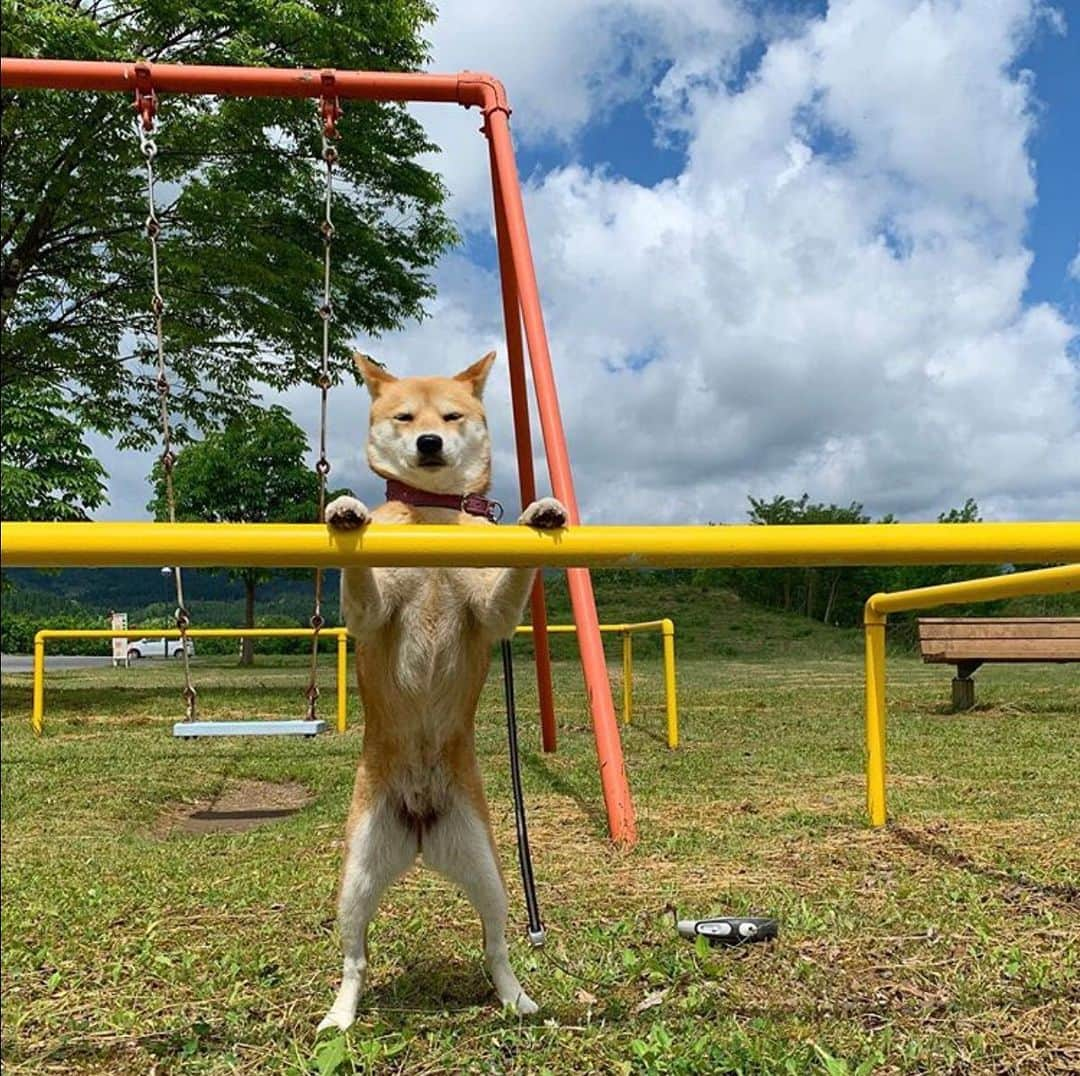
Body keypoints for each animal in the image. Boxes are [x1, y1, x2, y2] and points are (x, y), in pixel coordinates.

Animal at [315, 354, 565, 1032]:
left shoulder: (492, 610)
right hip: (355, 878)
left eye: (452, 416)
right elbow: (361, 580)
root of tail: (423, 822)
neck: (431, 517)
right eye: (405, 417)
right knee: (355, 960)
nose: (430, 442)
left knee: (496, 946)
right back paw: (340, 1016)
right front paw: (345, 510)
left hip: (489, 871)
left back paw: (516, 999)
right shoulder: (371, 615)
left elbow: (511, 583)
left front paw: (539, 514)